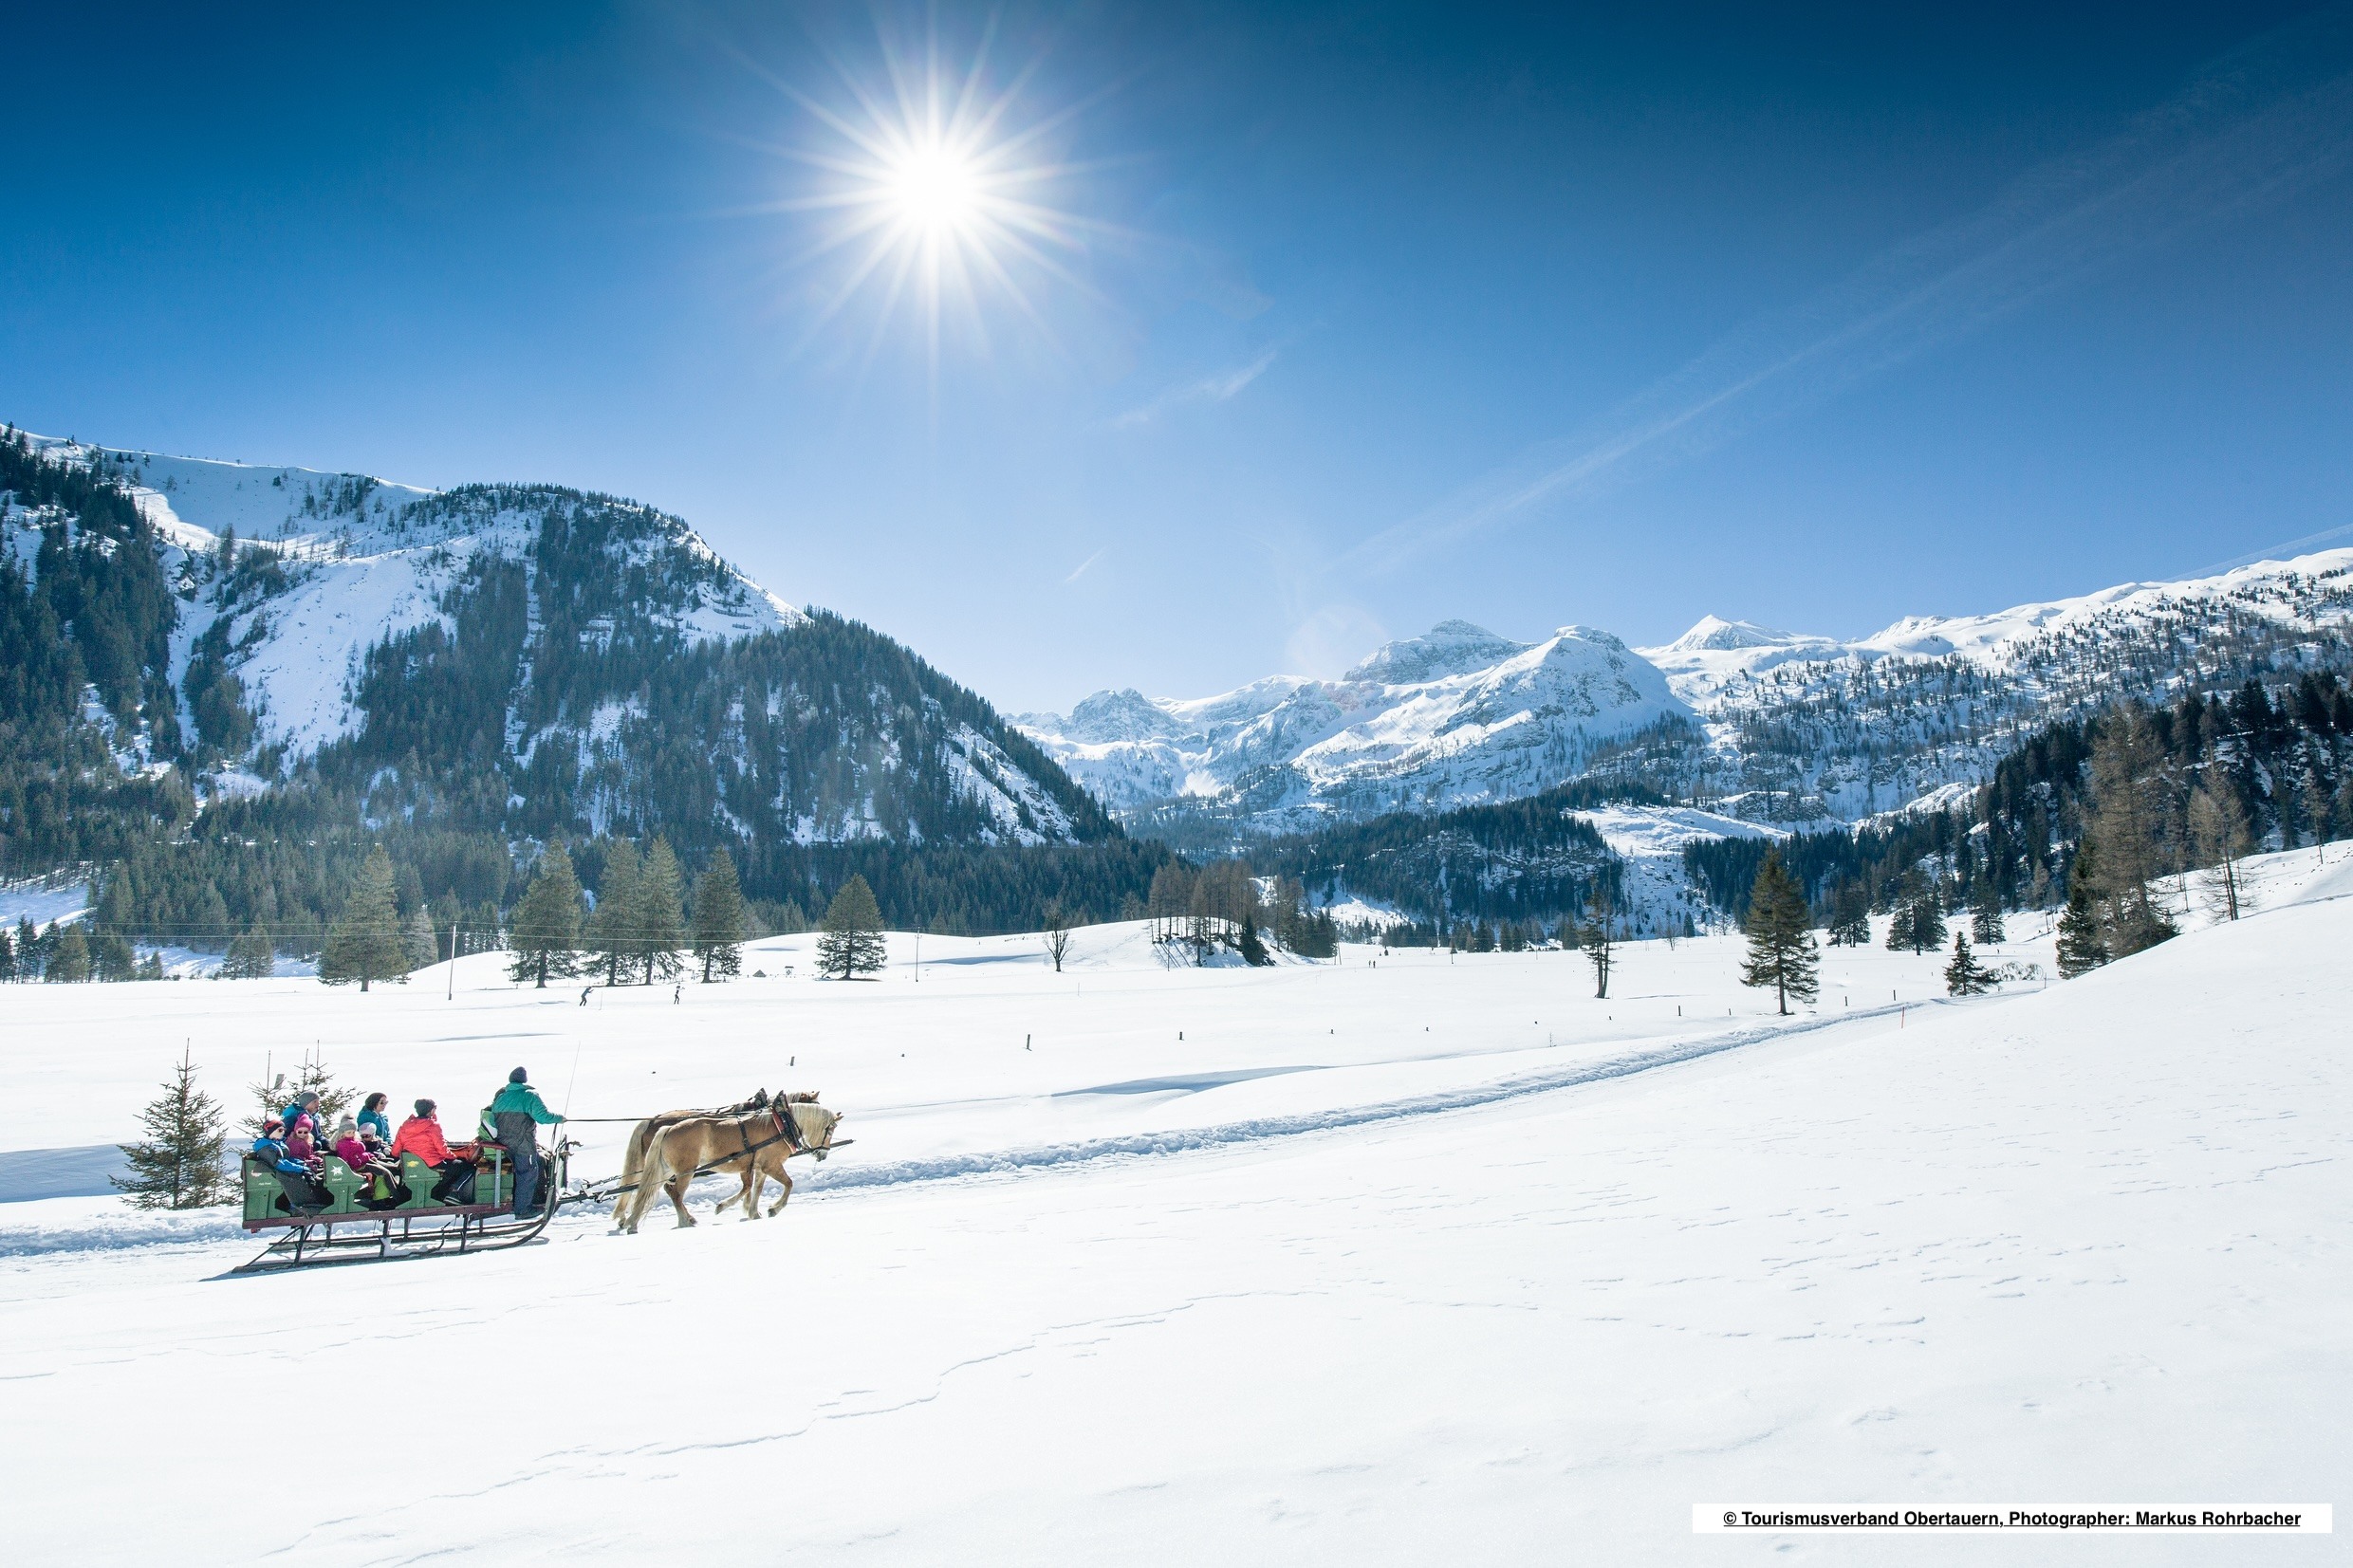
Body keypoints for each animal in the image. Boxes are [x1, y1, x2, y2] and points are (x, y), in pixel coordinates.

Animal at [621, 1099, 842, 1231]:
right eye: (830, 1130)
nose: (823, 1154)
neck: (781, 1125)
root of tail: (667, 1128)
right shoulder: (771, 1165)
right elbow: (788, 1184)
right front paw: (773, 1209)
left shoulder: (758, 1168)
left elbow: (754, 1189)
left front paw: (753, 1212)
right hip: (686, 1171)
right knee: (676, 1195)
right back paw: (684, 1221)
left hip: (666, 1170)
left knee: (650, 1190)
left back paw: (632, 1222)